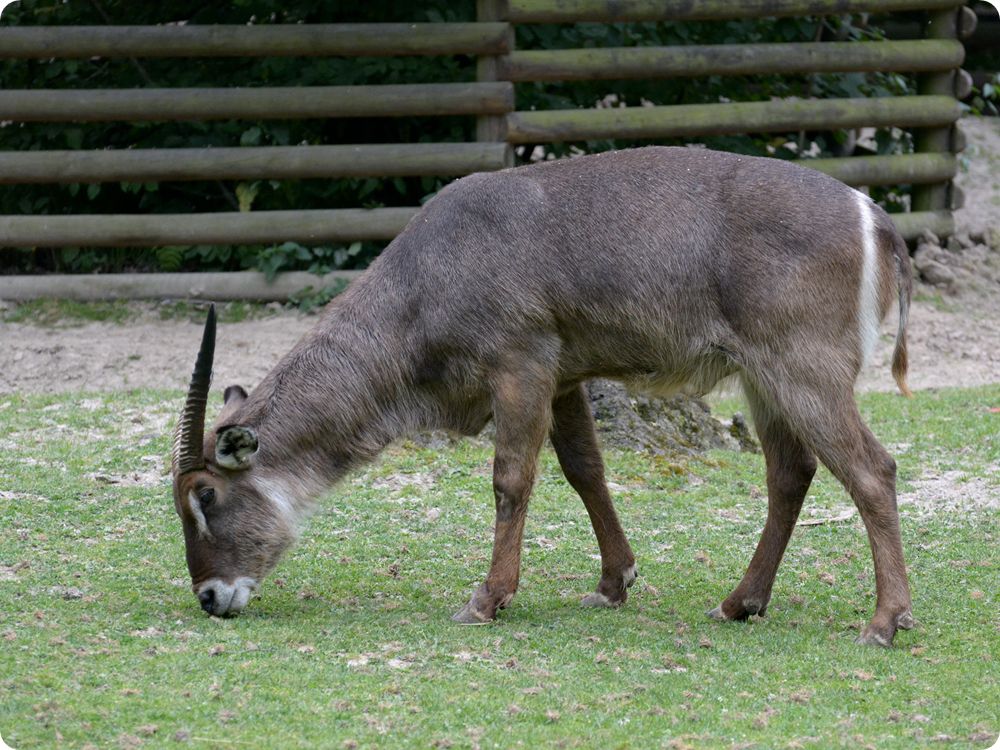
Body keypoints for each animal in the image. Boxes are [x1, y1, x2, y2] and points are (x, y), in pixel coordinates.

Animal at [171, 146, 915, 647]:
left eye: (204, 495)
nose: (209, 596)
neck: (425, 275)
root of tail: (874, 216)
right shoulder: (563, 377)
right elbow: (585, 470)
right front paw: (614, 584)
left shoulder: (520, 363)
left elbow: (511, 479)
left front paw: (487, 599)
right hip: (764, 378)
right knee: (791, 473)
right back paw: (739, 604)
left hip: (802, 369)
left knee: (872, 469)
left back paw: (884, 621)